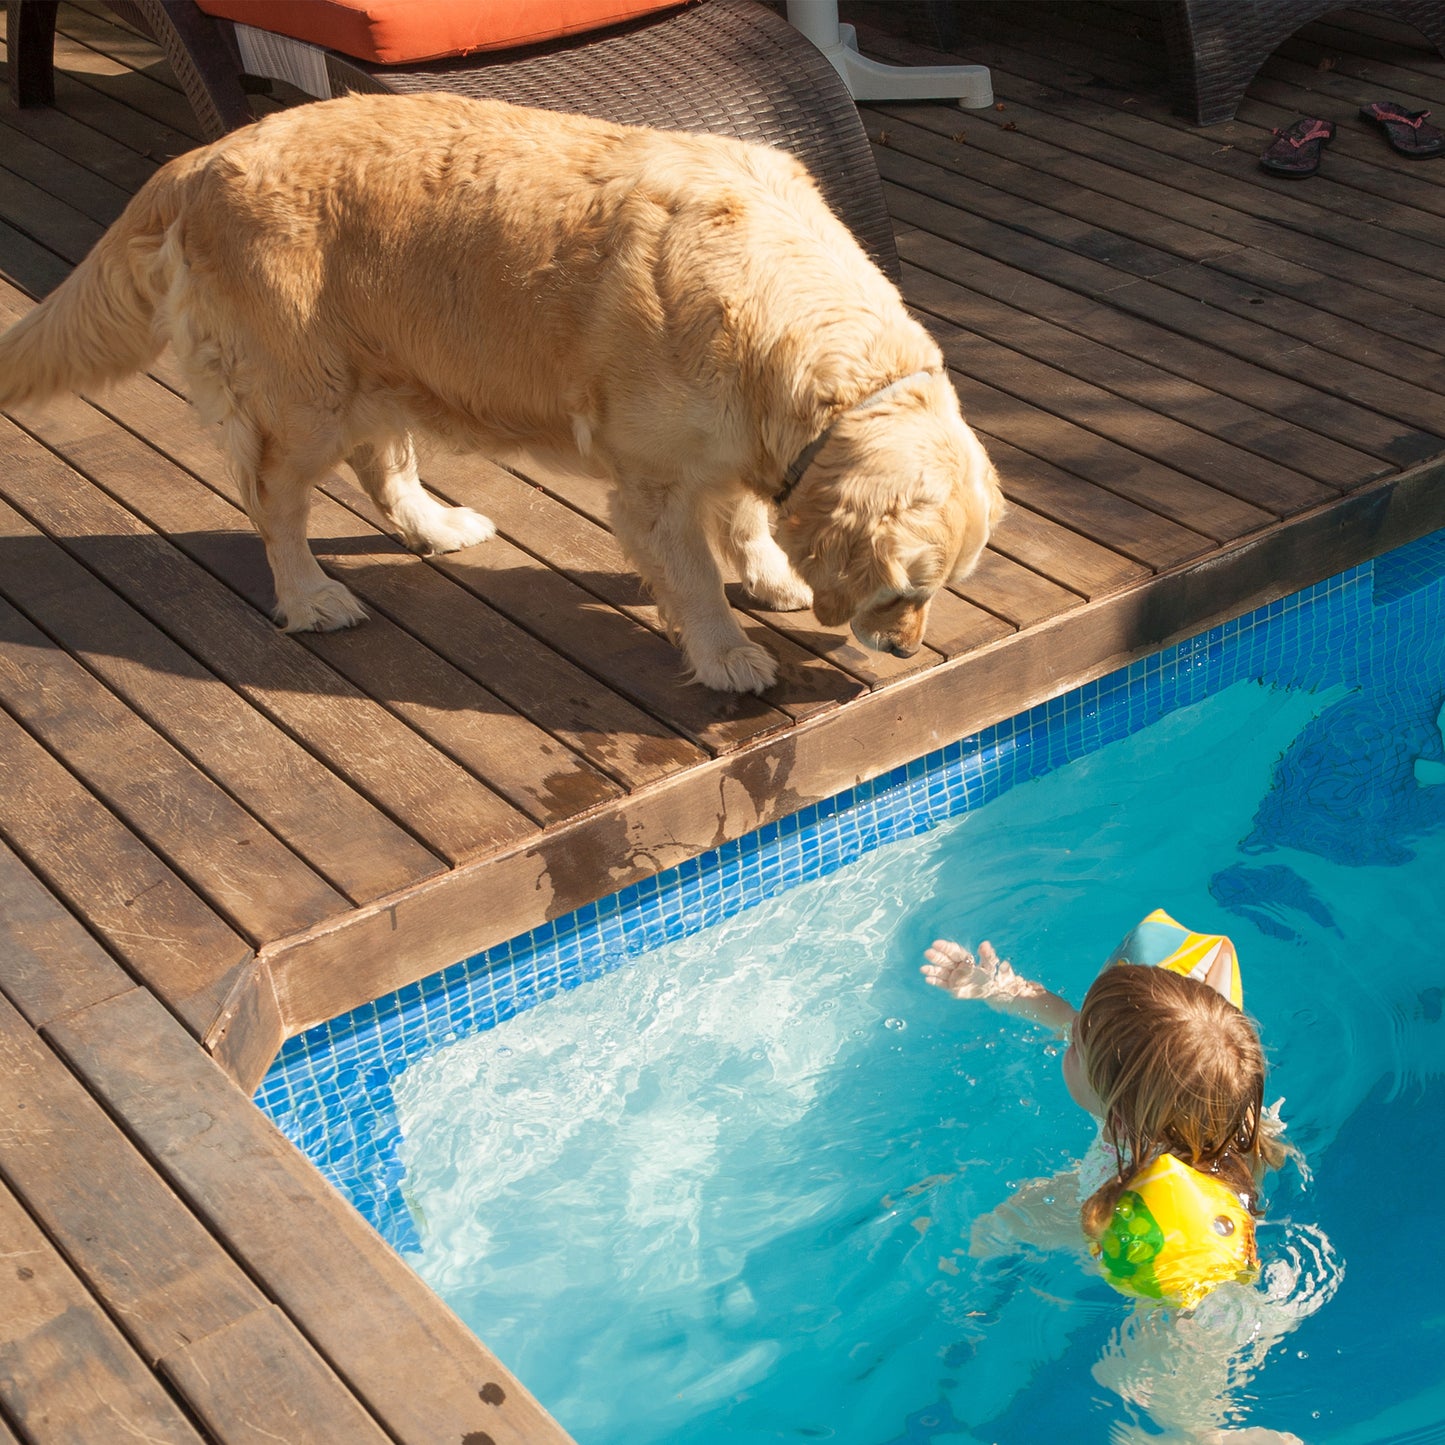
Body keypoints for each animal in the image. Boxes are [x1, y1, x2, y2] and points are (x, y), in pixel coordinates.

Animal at [0, 94, 999, 693]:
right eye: (899, 590)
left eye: (941, 586)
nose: (906, 647)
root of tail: (201, 156)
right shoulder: (655, 487)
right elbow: (691, 579)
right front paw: (725, 654)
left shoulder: (748, 444)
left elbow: (750, 516)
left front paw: (771, 574)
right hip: (305, 396)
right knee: (274, 504)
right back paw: (313, 597)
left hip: (383, 362)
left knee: (384, 468)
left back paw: (438, 525)